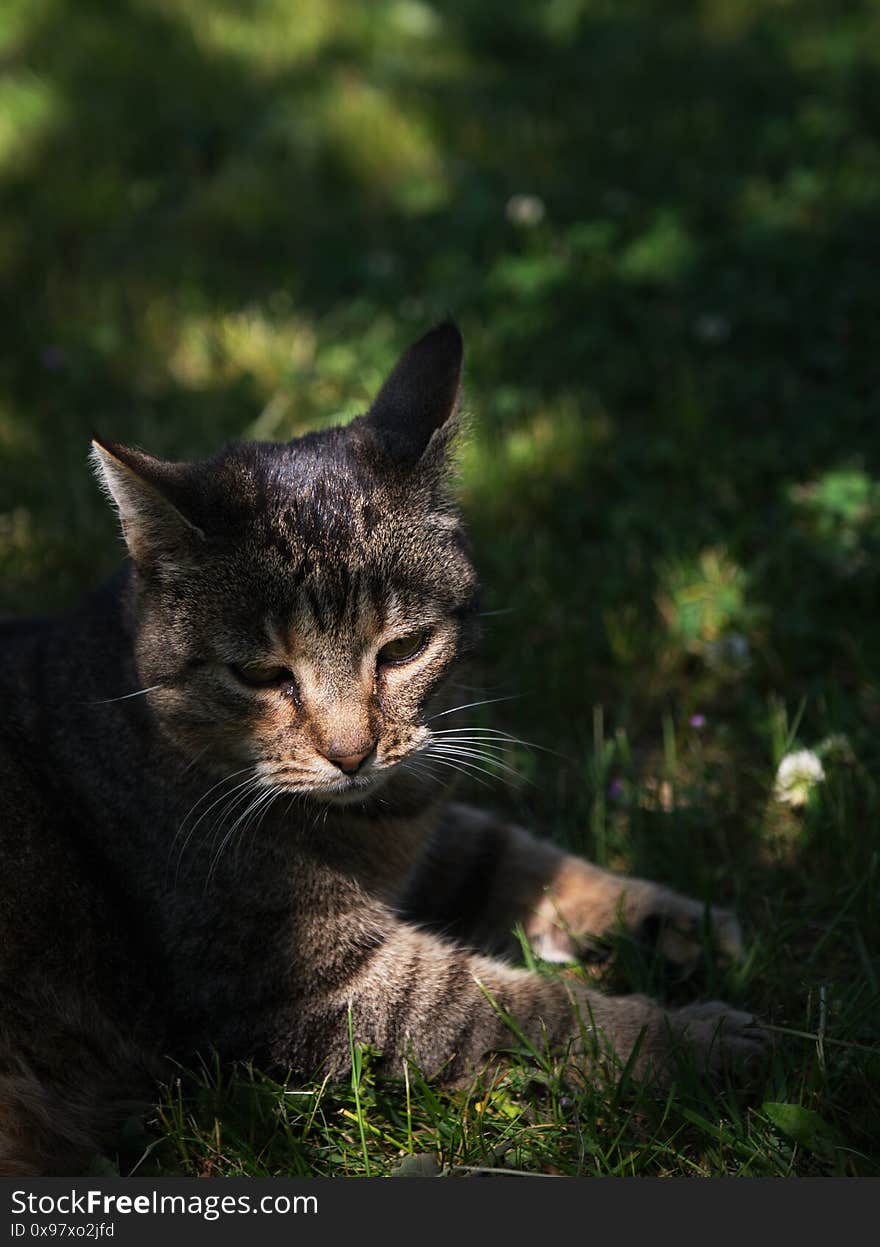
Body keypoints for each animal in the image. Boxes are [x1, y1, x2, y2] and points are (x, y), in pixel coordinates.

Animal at [0, 316, 762, 1172]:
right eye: (259, 673)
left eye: (401, 650)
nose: (351, 752)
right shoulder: (307, 985)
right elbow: (513, 1008)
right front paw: (686, 1038)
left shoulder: (426, 814)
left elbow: (521, 854)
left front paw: (676, 916)